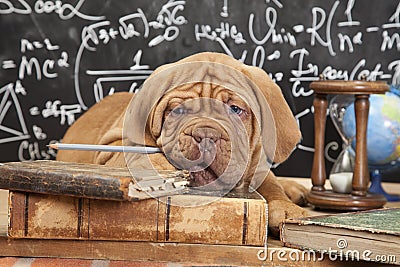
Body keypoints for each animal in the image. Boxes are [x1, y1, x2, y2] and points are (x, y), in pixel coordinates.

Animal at [56, 51, 306, 234]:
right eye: (178, 110)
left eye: (235, 109)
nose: (207, 134)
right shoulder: (111, 144)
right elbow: (131, 151)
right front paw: (159, 167)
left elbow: (271, 184)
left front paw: (286, 208)